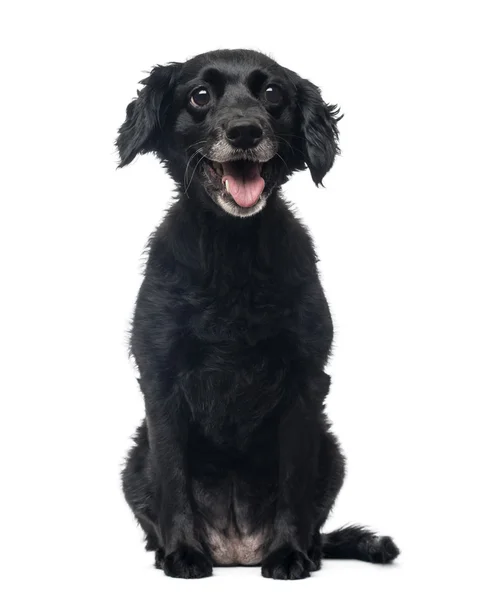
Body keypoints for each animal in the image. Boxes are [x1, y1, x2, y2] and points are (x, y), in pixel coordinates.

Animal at [116, 48, 398, 576]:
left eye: (272, 93)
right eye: (199, 96)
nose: (245, 131)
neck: (232, 252)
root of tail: (236, 549)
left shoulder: (306, 381)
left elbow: (294, 481)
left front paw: (288, 554)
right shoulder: (160, 378)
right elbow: (173, 477)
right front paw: (183, 552)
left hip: (333, 451)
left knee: (316, 523)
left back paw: (308, 549)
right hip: (133, 461)